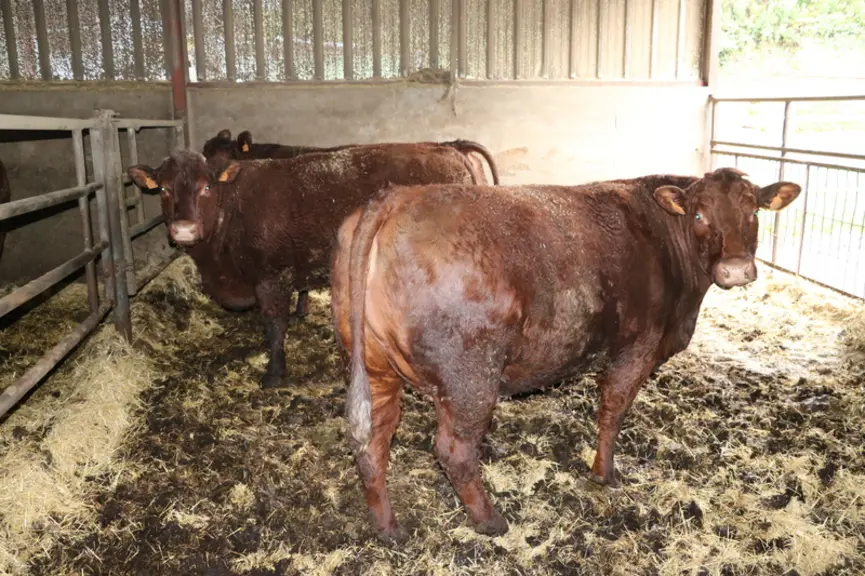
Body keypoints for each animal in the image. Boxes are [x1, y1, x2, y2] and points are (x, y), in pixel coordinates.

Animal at [127, 142, 482, 388]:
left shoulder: (272, 277)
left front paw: (274, 373)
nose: (184, 229)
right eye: (163, 188)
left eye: (206, 187)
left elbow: (275, 325)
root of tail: (447, 149)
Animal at [330, 167, 801, 541]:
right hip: (470, 376)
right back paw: (491, 521)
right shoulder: (637, 348)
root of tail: (396, 196)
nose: (736, 270)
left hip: (376, 368)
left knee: (372, 442)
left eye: (754, 212)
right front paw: (605, 474)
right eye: (700, 215)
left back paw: (389, 528)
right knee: (453, 451)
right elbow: (612, 411)